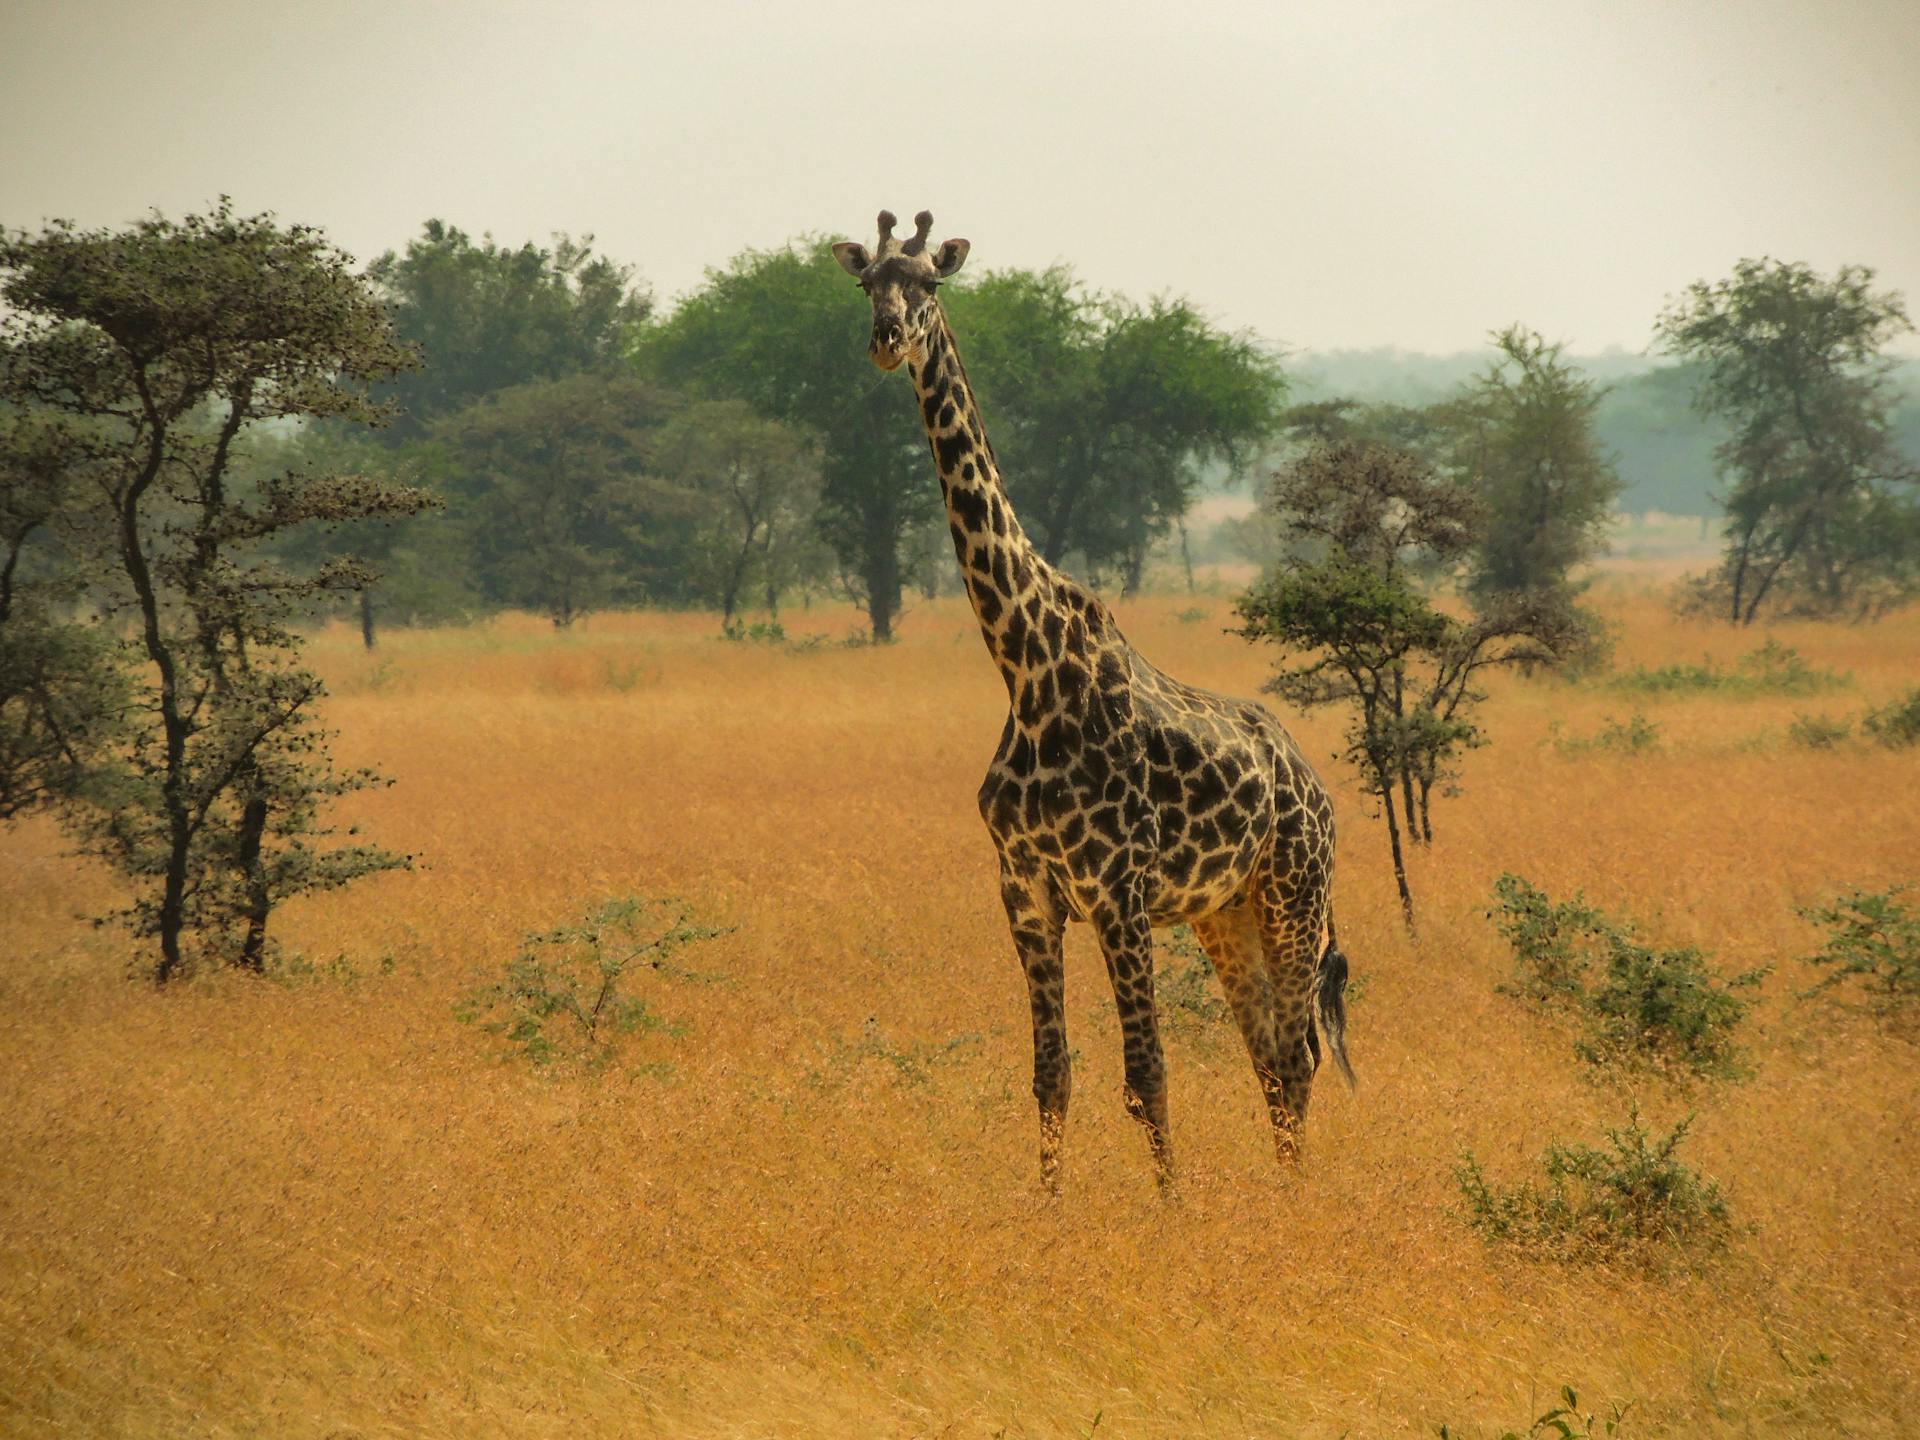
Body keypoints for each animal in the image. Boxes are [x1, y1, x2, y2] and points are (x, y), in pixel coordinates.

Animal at [833, 210, 1354, 1190]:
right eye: (866, 283)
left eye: (931, 285)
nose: (887, 340)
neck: (1027, 667)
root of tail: (1316, 788)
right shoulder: (1026, 890)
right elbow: (1052, 1076)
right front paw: (1046, 1210)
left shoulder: (1119, 888)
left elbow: (1146, 1074)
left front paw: (1171, 1210)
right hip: (1224, 913)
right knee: (1271, 1051)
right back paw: (1282, 1195)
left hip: (1291, 891)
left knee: (1302, 1051)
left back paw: (1297, 1199)